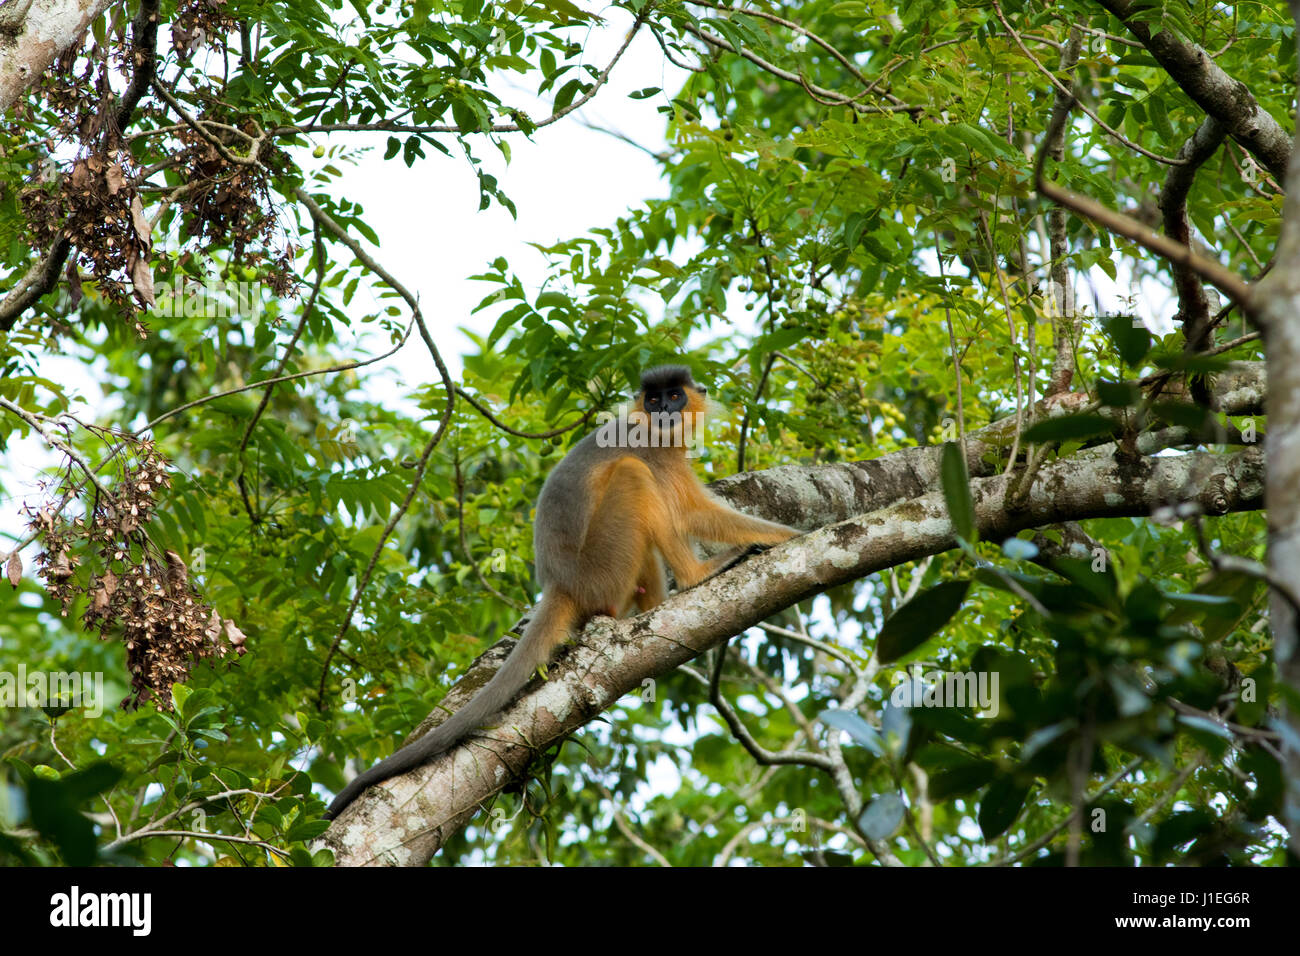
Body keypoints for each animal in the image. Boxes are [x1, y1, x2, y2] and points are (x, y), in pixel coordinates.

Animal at [322, 366, 790, 822]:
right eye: (654, 399)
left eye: (674, 396)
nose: (663, 412)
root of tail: (560, 582)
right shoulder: (653, 451)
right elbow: (692, 513)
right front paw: (793, 536)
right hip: (603, 566)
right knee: (634, 476)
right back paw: (697, 576)